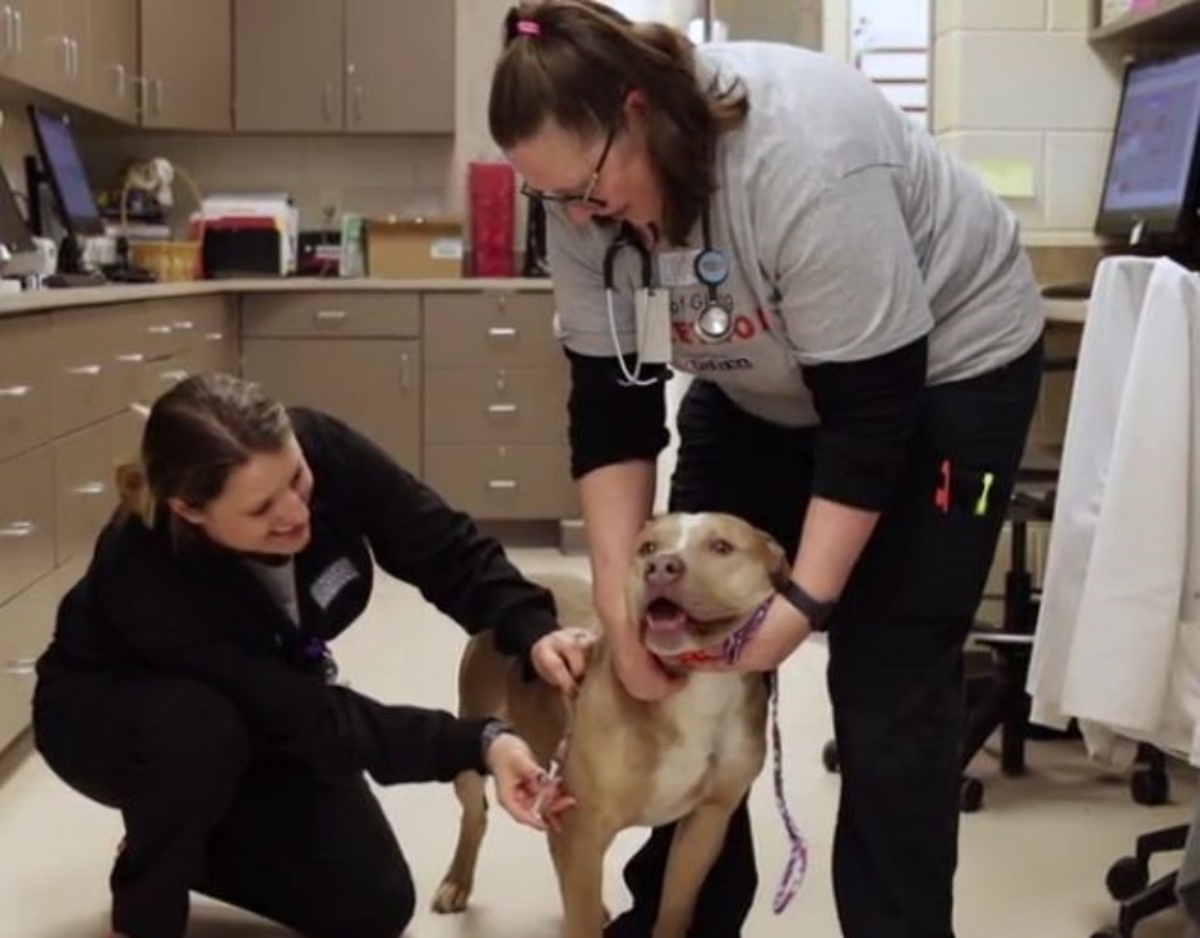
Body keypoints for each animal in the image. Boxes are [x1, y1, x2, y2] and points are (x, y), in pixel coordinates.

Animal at [429, 513, 787, 938]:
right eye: (648, 548)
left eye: (722, 547)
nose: (661, 566)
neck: (695, 688)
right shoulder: (585, 827)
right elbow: (581, 916)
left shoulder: (706, 824)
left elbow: (674, 908)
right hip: (475, 739)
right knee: (475, 813)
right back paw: (456, 881)